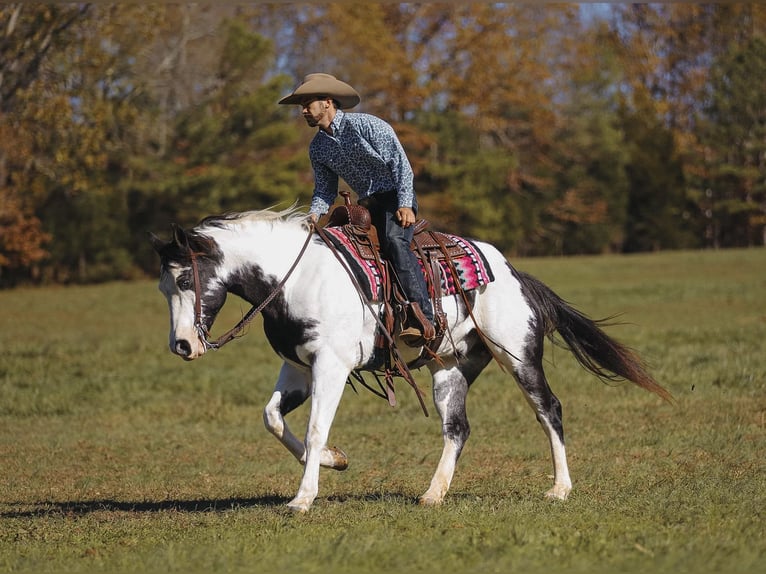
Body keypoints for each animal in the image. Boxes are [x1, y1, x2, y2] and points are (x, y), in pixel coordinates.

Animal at [150, 206, 672, 512]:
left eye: (184, 280)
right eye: (162, 286)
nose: (182, 346)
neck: (296, 279)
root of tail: (510, 271)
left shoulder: (331, 365)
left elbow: (315, 427)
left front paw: (303, 498)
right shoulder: (297, 367)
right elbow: (273, 418)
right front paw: (335, 461)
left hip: (518, 356)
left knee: (549, 410)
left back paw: (560, 488)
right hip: (451, 369)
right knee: (457, 429)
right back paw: (433, 494)